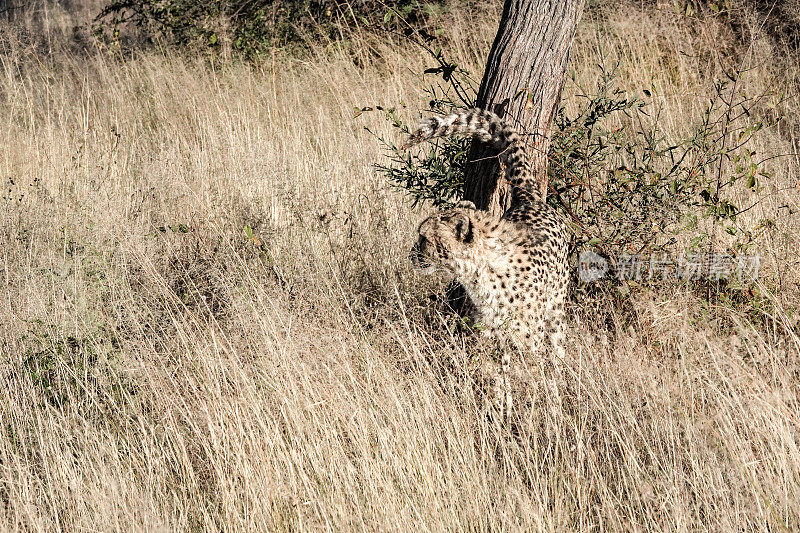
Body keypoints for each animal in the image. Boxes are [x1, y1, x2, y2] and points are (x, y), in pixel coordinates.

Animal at [406, 107, 568, 416]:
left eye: (424, 238)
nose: (411, 255)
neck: (481, 275)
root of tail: (530, 199)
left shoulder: (526, 341)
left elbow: (532, 377)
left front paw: (537, 416)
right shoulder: (487, 335)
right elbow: (495, 378)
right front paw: (499, 413)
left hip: (556, 310)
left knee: (555, 353)